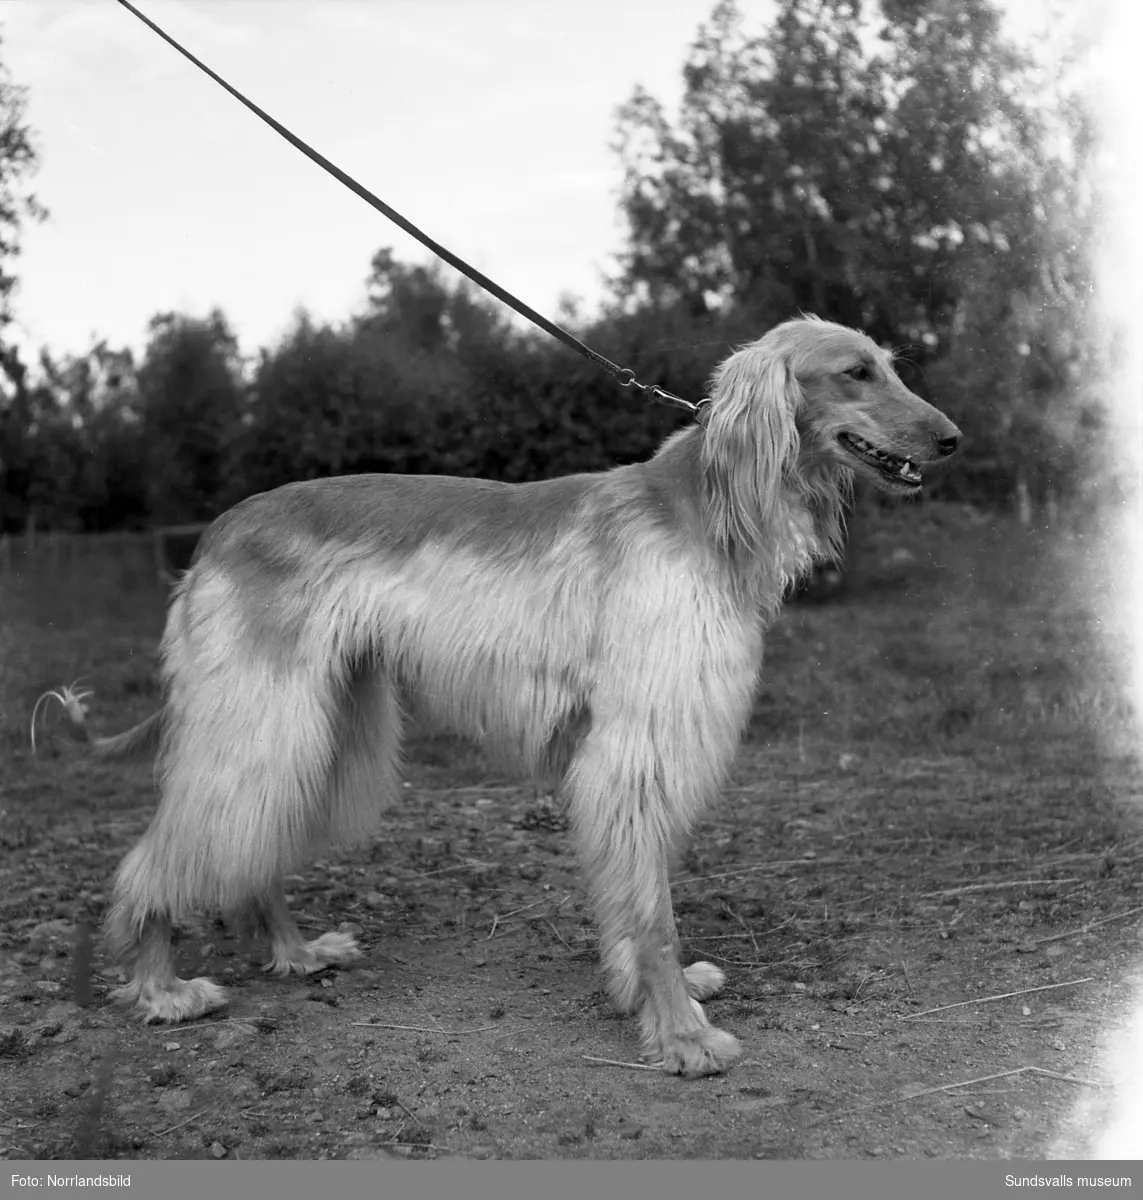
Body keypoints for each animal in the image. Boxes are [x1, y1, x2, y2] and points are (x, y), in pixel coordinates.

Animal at [96, 316, 955, 1080]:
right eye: (855, 372)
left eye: (890, 365)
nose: (952, 439)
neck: (702, 515)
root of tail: (215, 533)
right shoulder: (637, 744)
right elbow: (653, 914)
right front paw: (681, 1036)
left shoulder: (634, 752)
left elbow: (629, 892)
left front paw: (644, 994)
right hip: (263, 718)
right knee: (161, 856)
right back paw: (161, 986)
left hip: (320, 721)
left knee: (251, 848)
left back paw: (294, 953)